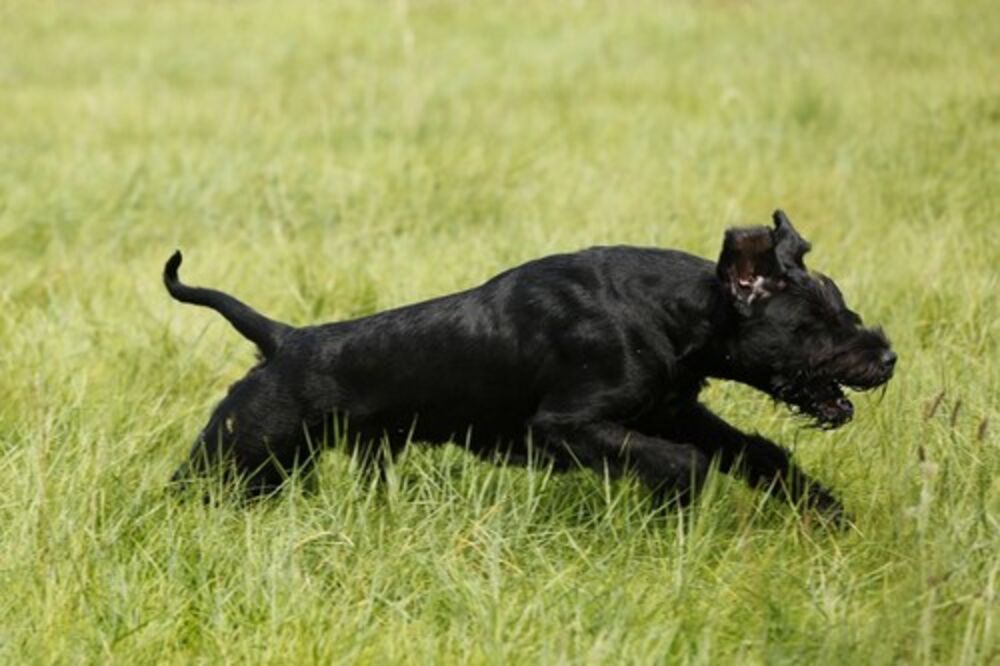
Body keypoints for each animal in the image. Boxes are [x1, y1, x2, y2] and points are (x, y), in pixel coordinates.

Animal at [162, 210, 892, 516]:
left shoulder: (674, 410)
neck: (673, 313)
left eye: (842, 306)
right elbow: (680, 463)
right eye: (812, 322)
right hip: (238, 453)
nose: (885, 356)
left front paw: (825, 512)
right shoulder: (568, 427)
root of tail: (283, 340)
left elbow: (756, 453)